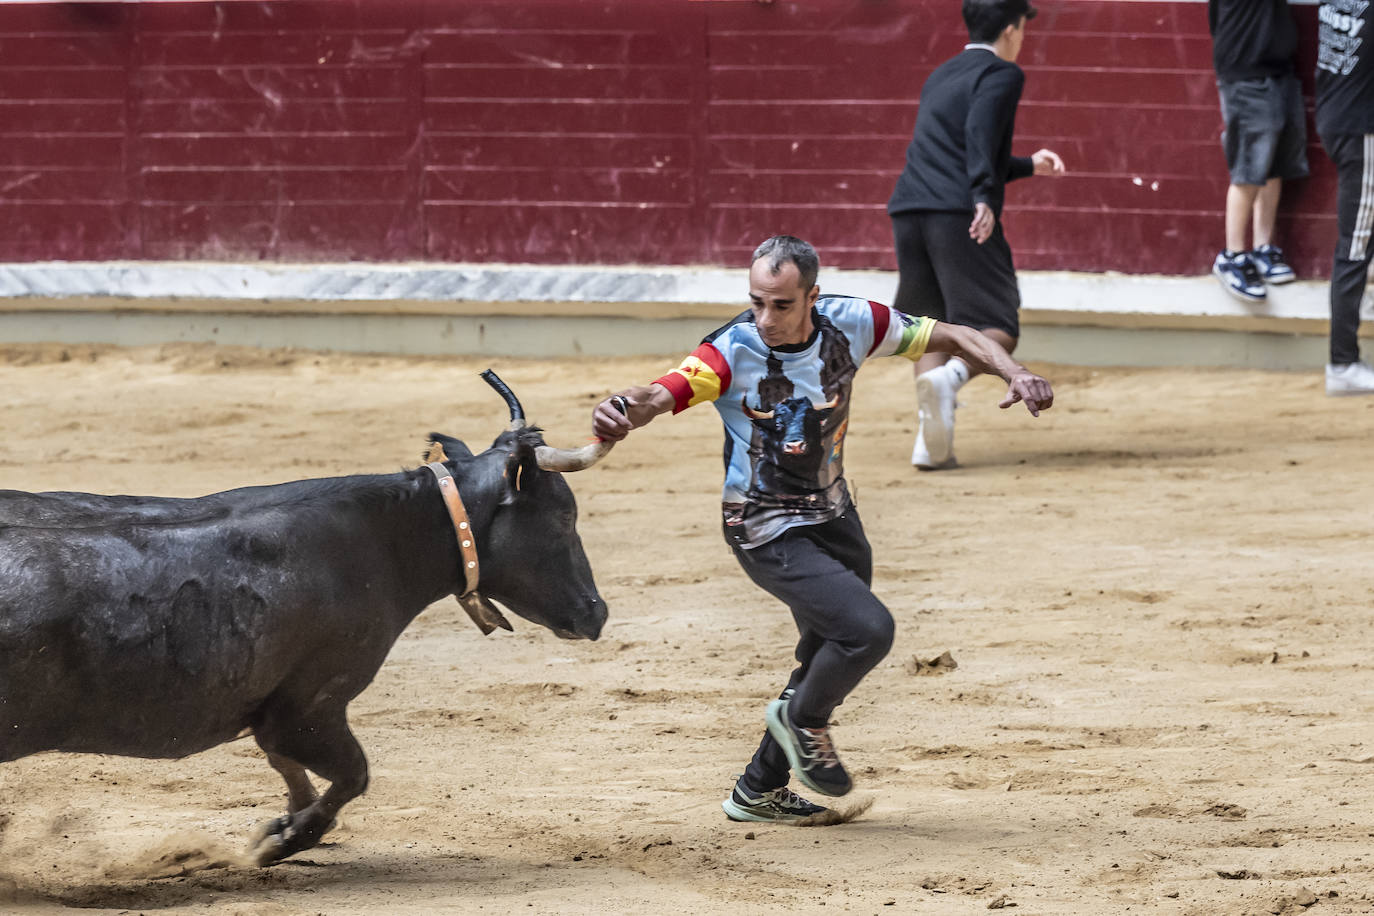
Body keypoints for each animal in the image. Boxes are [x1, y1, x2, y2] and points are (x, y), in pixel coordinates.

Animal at [0, 370, 612, 867]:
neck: (385, 539)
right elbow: (351, 774)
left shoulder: (273, 709)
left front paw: (281, 824)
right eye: (564, 517)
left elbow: (285, 764)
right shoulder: (312, 706)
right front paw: (283, 840)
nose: (597, 611)